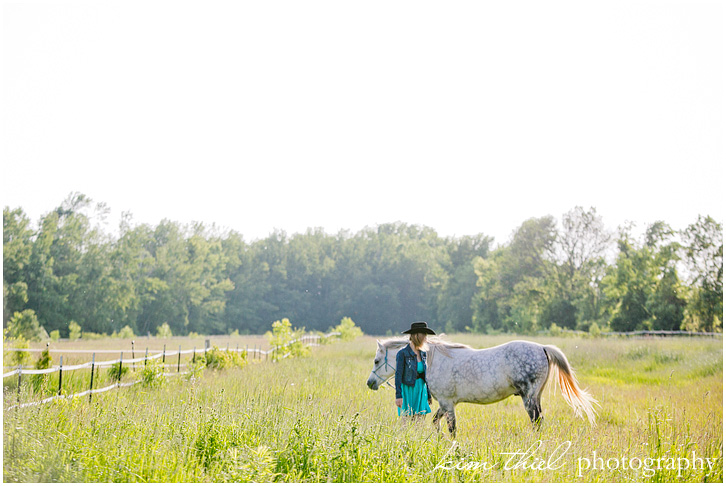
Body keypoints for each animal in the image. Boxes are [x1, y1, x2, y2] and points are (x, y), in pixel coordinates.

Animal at [366, 338, 600, 436]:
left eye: (377, 360)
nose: (370, 383)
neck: (433, 360)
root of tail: (542, 347)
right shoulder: (445, 404)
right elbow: (436, 423)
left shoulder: (448, 404)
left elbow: (452, 429)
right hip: (536, 397)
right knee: (539, 420)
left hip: (529, 398)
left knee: (536, 421)